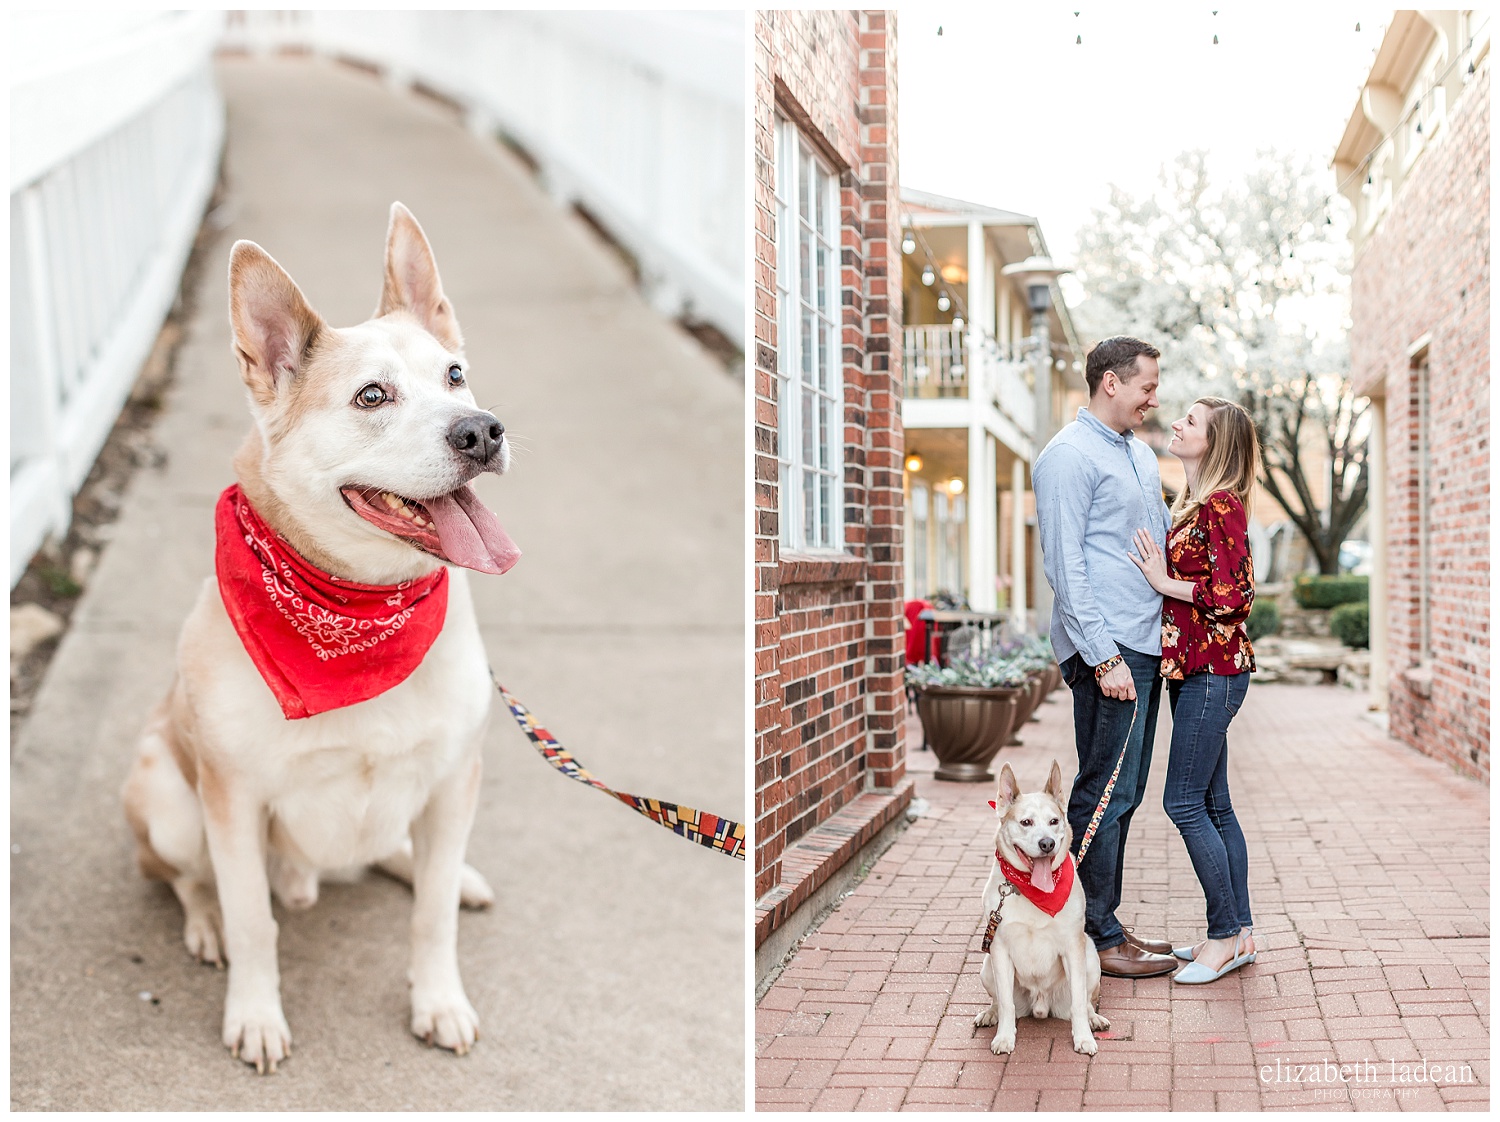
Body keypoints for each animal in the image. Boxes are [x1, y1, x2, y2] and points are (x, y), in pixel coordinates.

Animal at [120, 205, 516, 1074]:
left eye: (455, 375)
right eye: (372, 395)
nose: (482, 431)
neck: (361, 612)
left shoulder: (453, 778)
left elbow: (431, 916)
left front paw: (439, 1000)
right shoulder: (232, 802)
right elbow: (253, 921)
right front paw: (255, 1013)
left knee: (407, 860)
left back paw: (455, 875)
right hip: (166, 794)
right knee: (183, 877)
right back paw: (203, 924)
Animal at [978, 759, 1110, 1056]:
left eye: (1054, 821)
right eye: (1026, 822)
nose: (1047, 843)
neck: (1034, 892)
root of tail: (1040, 1004)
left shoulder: (1073, 947)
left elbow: (1079, 1002)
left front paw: (1083, 1038)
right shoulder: (999, 949)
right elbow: (1006, 1003)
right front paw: (1005, 1037)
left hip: (1090, 956)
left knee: (1085, 1001)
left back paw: (1093, 1019)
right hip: (987, 965)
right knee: (998, 1001)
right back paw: (990, 1014)